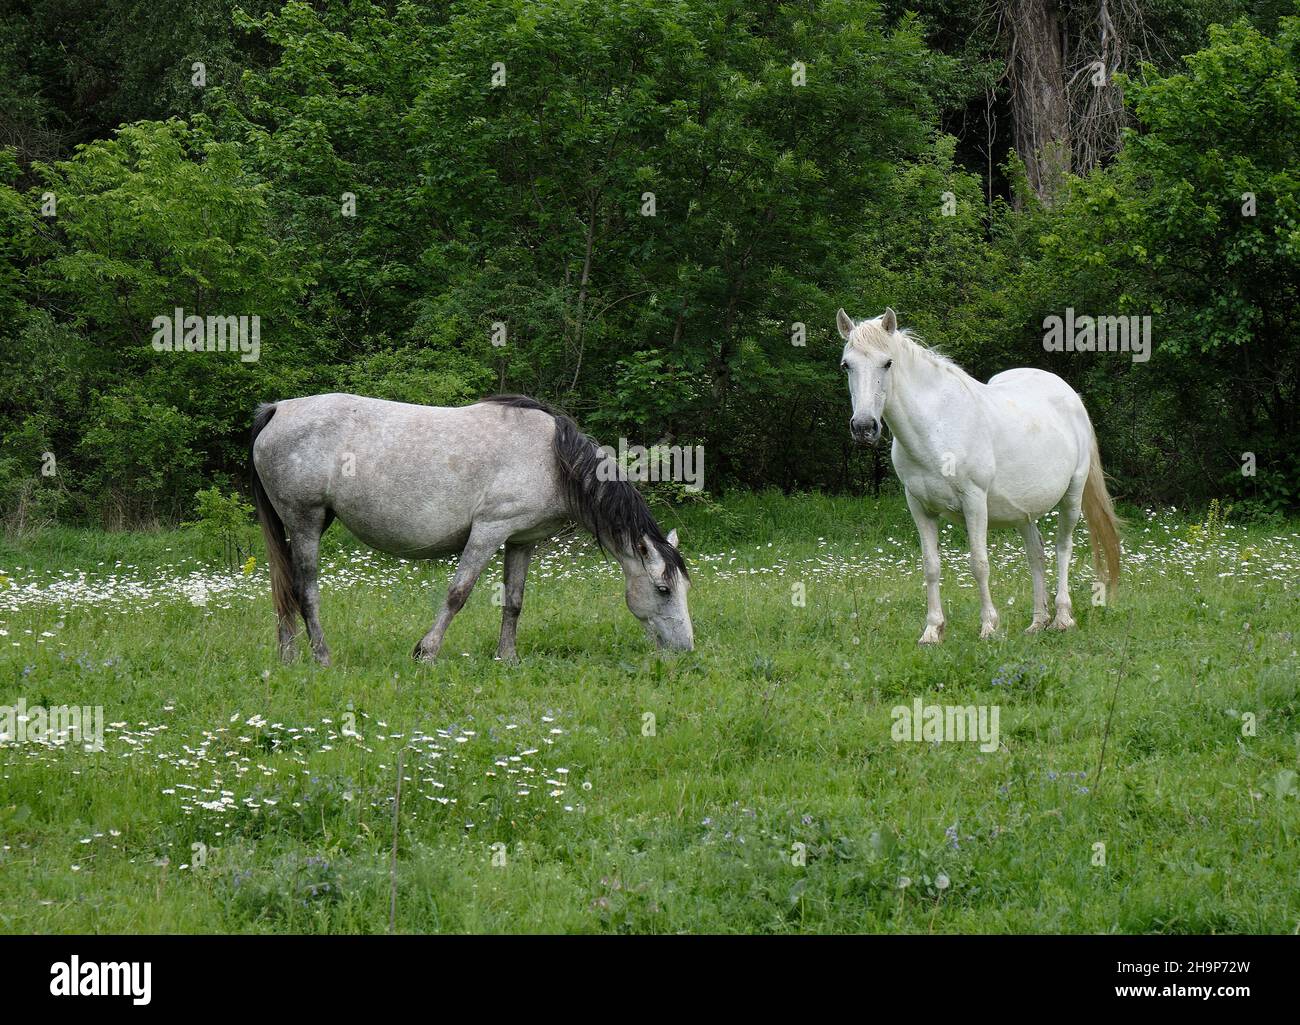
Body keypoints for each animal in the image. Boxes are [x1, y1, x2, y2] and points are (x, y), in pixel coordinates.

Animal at [245, 392, 691, 663]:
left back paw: (288, 657)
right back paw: (322, 658)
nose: (686, 649)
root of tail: (279, 409)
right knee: (305, 591)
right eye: (663, 589)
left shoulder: (521, 541)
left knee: (285, 591)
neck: (552, 459)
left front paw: (507, 658)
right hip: (305, 521)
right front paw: (426, 652)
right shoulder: (488, 532)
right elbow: (458, 594)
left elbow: (514, 601)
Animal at [837, 305, 1123, 639]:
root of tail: (1070, 396)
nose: (864, 428)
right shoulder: (919, 507)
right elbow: (930, 566)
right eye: (846, 365)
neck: (937, 426)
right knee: (1036, 554)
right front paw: (932, 630)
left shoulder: (974, 502)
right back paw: (1037, 622)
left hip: (1072, 496)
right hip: (1023, 511)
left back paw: (1062, 618)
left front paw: (988, 626)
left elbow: (979, 563)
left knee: (1063, 548)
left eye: (887, 363)